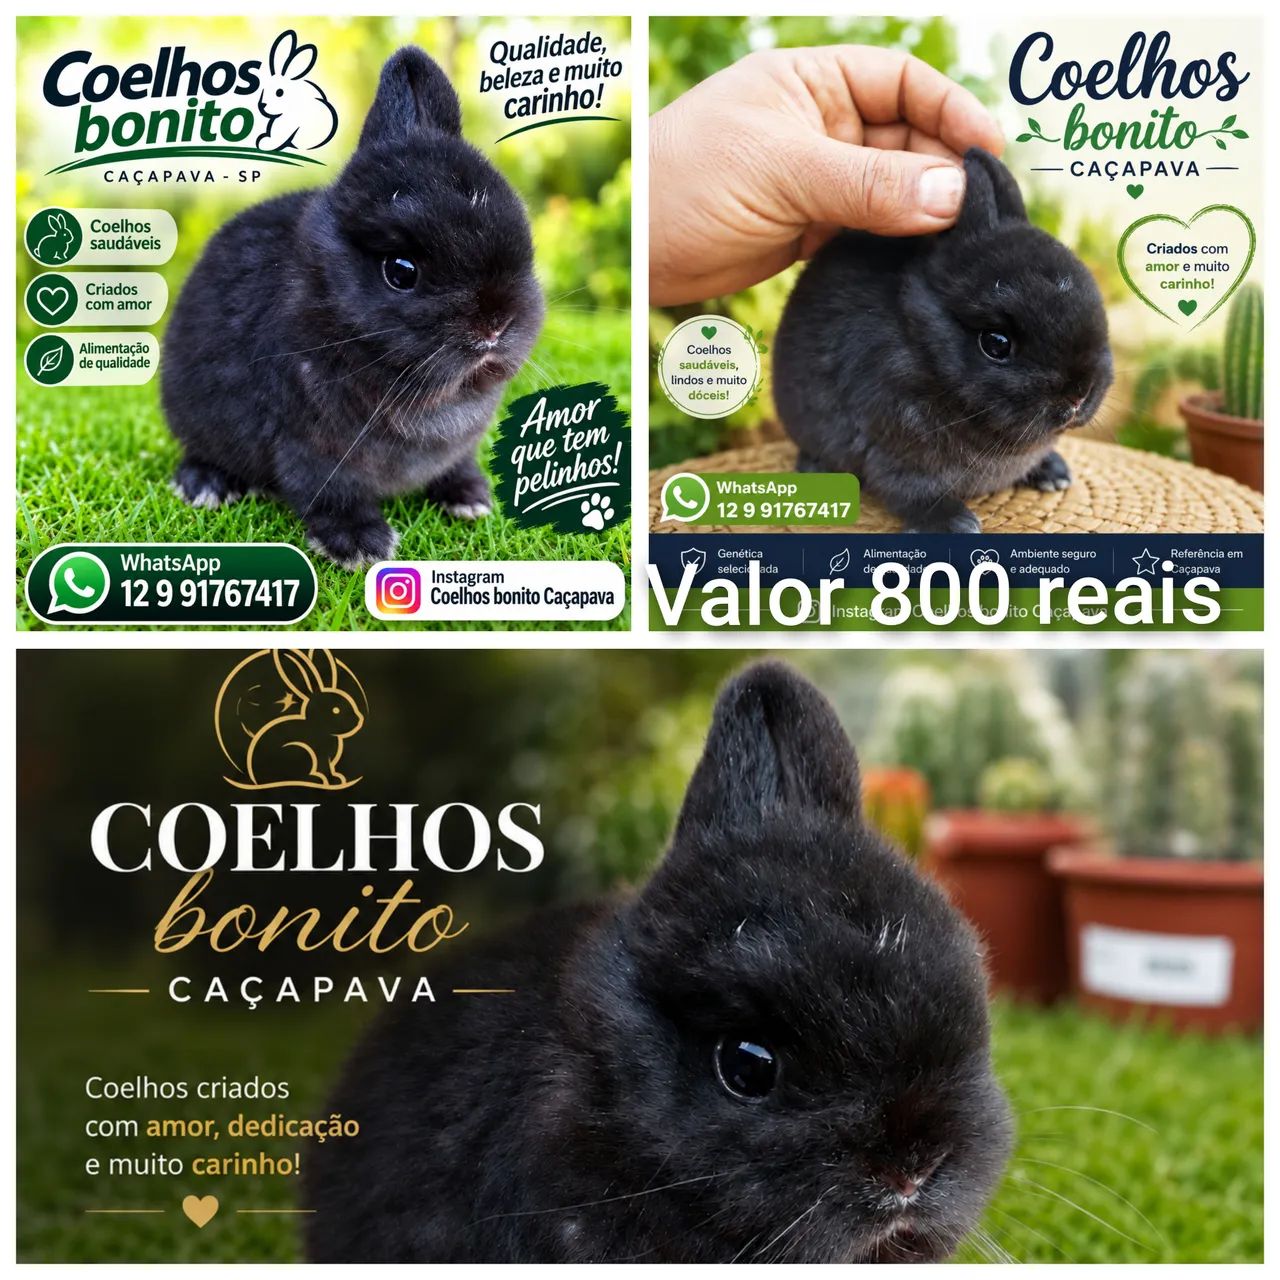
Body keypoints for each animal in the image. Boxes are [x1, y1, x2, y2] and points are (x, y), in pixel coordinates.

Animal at [161, 46, 544, 567]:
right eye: (400, 272)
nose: (494, 324)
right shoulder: (312, 446)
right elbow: (330, 492)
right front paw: (361, 546)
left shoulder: (458, 444)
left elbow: (456, 463)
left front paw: (470, 499)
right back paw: (205, 485)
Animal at [240, 649, 364, 788]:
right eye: (336, 710)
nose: (359, 720)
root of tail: (258, 780)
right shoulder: (321, 756)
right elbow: (324, 768)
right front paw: (332, 780)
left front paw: (336, 778)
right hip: (300, 752)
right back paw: (316, 779)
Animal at [772, 147, 1113, 533]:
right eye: (996, 344)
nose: (1078, 396)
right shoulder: (897, 451)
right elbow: (914, 491)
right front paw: (953, 524)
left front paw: (1053, 473)